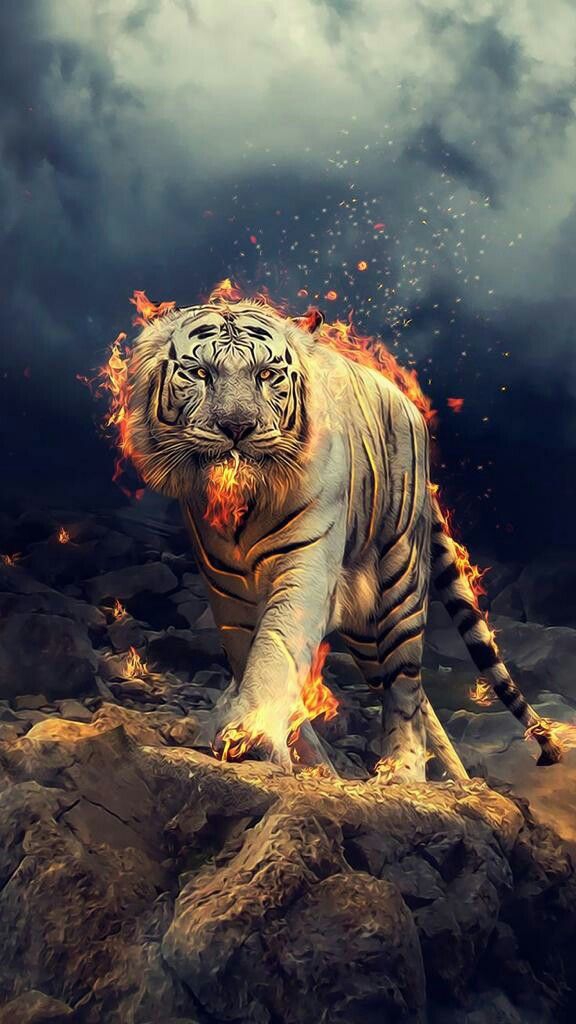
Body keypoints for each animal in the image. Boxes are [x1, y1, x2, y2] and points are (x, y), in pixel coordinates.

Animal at [124, 296, 562, 781]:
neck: (243, 504)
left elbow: (277, 648)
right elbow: (251, 655)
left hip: (399, 587)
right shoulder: (227, 591)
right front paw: (298, 757)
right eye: (200, 373)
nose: (237, 427)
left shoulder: (306, 567)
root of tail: (406, 404)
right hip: (367, 635)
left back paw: (404, 772)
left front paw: (252, 735)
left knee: (405, 685)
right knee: (413, 694)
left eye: (266, 375)